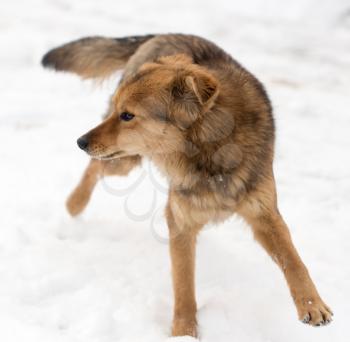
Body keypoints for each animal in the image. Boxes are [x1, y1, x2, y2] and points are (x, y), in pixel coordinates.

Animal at [42, 33, 332, 338]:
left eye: (128, 116)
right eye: (120, 113)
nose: (80, 142)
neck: (211, 156)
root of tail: (163, 34)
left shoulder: (264, 214)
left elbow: (294, 261)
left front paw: (312, 305)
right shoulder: (180, 222)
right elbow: (184, 286)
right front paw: (183, 332)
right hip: (125, 161)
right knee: (94, 167)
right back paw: (74, 204)